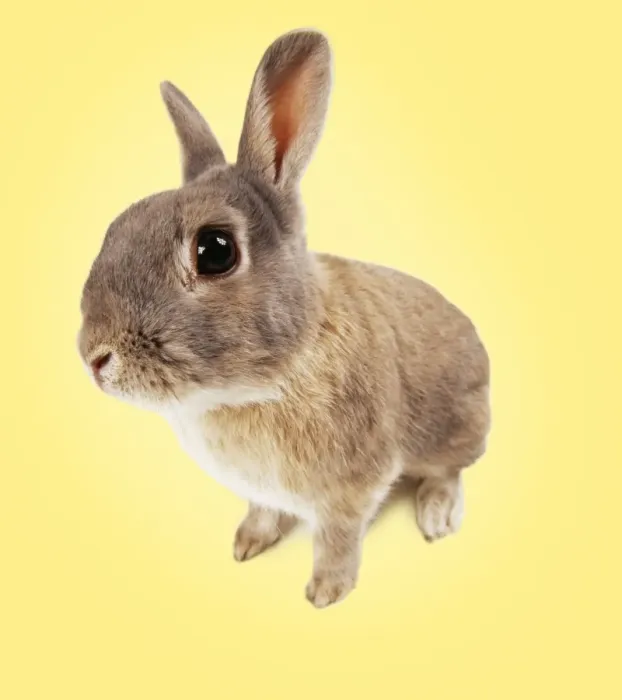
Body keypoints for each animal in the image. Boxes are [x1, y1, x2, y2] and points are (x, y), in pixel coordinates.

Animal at [78, 28, 491, 608]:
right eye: (116, 226)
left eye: (215, 250)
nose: (93, 356)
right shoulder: (262, 490)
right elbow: (263, 510)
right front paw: (247, 544)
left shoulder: (351, 489)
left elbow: (337, 538)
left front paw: (326, 592)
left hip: (455, 430)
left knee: (449, 471)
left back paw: (435, 516)